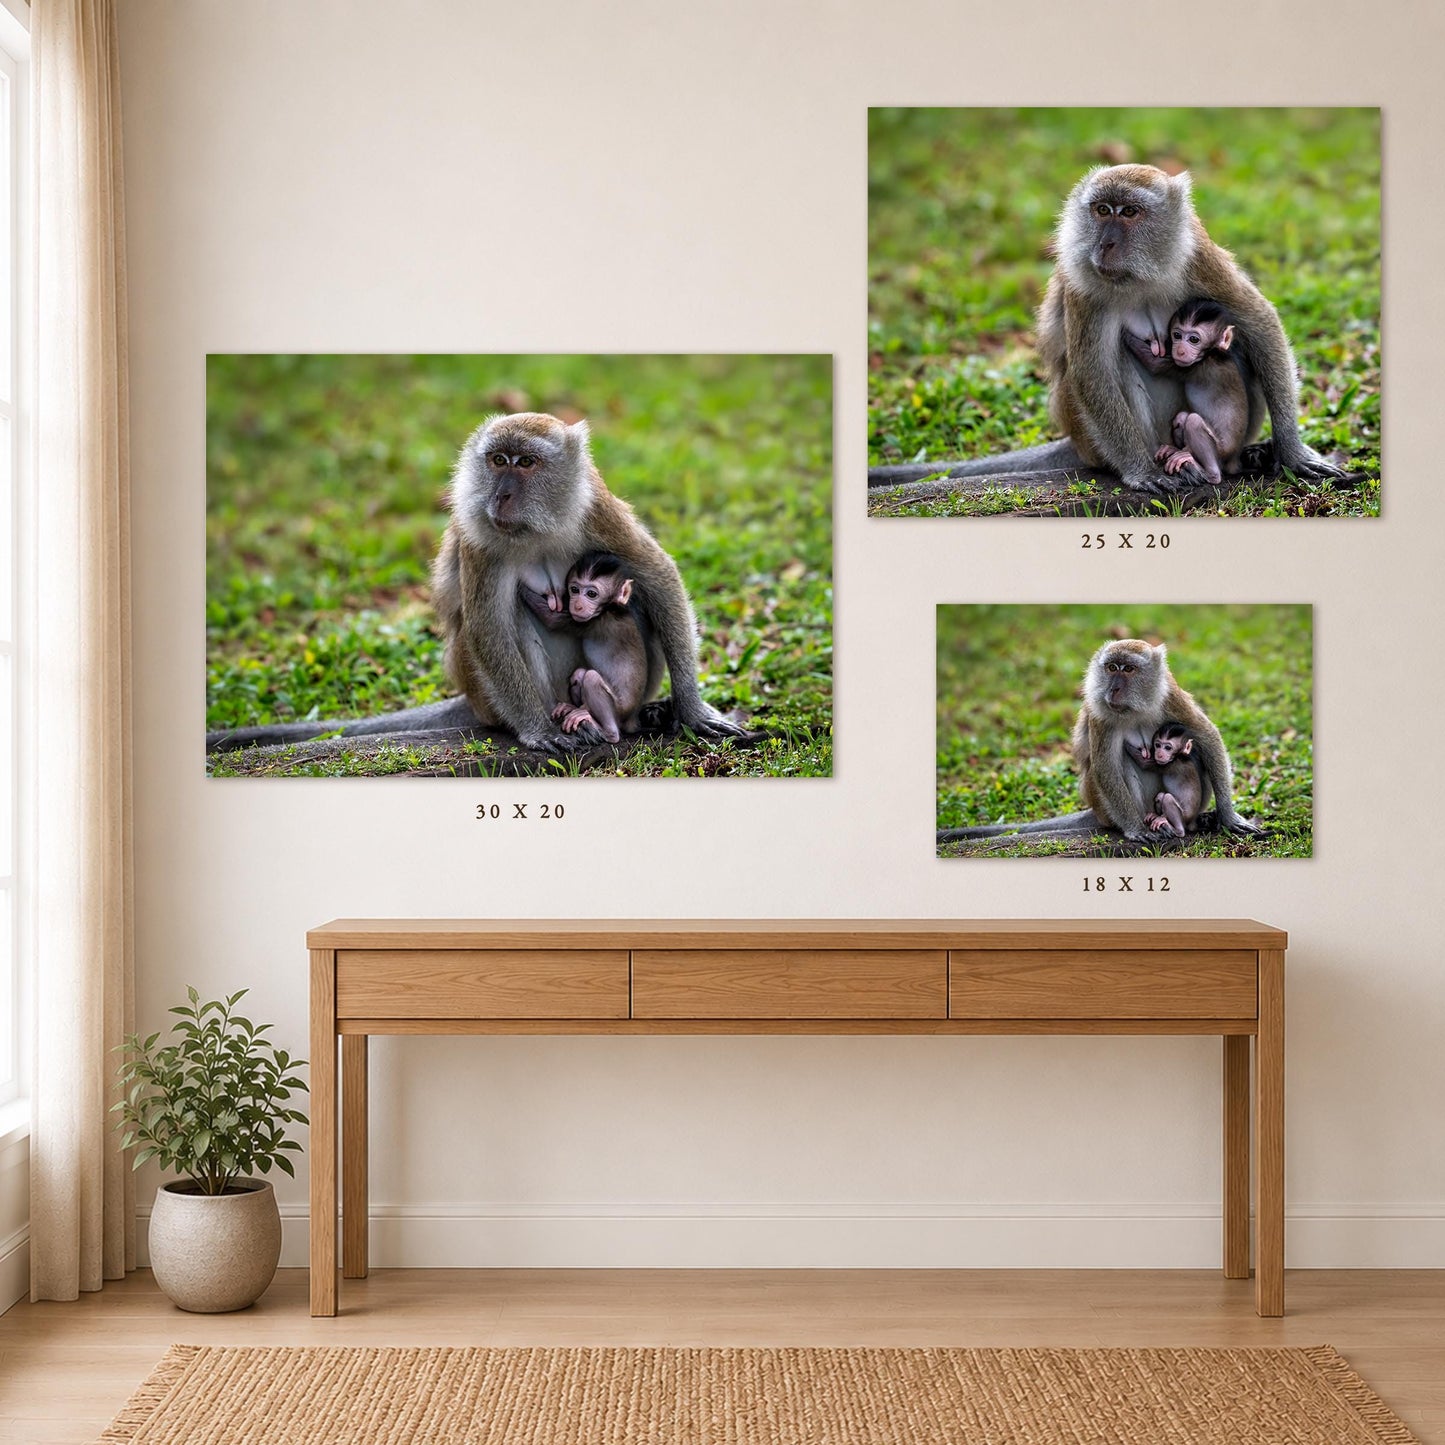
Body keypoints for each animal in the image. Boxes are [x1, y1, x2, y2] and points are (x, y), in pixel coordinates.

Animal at [517, 551, 658, 743]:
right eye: (575, 590)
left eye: (591, 594)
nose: (577, 605)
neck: (611, 608)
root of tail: (631, 719)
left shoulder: (594, 622)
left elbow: (551, 619)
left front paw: (520, 587)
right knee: (579, 674)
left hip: (620, 711)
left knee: (591, 678)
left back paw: (607, 731)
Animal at [936, 638, 1259, 844]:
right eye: (1111, 668)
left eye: (1128, 669)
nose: (1113, 689)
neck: (1134, 707)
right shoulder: (1099, 711)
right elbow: (1105, 766)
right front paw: (1134, 830)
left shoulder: (1170, 695)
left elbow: (1206, 735)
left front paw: (1229, 817)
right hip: (1106, 806)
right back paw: (1154, 823)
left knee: (1194, 751)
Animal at [1121, 297, 1261, 484]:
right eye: (1177, 335)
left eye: (1194, 339)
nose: (1179, 350)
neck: (1212, 352)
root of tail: (1234, 460)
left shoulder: (1194, 366)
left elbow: (1154, 364)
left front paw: (1124, 334)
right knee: (1182, 417)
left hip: (1222, 452)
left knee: (1193, 421)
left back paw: (1210, 473)